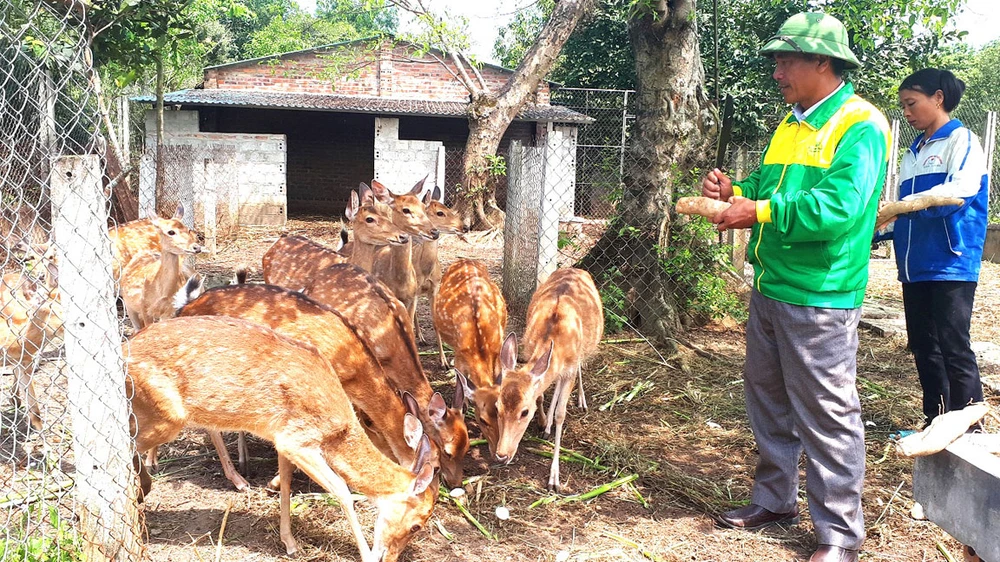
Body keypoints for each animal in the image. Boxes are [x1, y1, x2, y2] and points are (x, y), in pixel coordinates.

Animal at [430, 258, 508, 456]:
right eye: (482, 419)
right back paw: (443, 361)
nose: (498, 455)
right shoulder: (459, 356)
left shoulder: (497, 351)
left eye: (502, 414)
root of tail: (464, 259)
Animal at [492, 266, 600, 490]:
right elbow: (541, 394)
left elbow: (561, 413)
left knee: (579, 368)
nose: (501, 454)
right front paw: (544, 425)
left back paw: (581, 401)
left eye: (524, 412)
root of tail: (576, 268)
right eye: (497, 407)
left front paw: (554, 479)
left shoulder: (569, 367)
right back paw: (547, 426)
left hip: (585, 348)